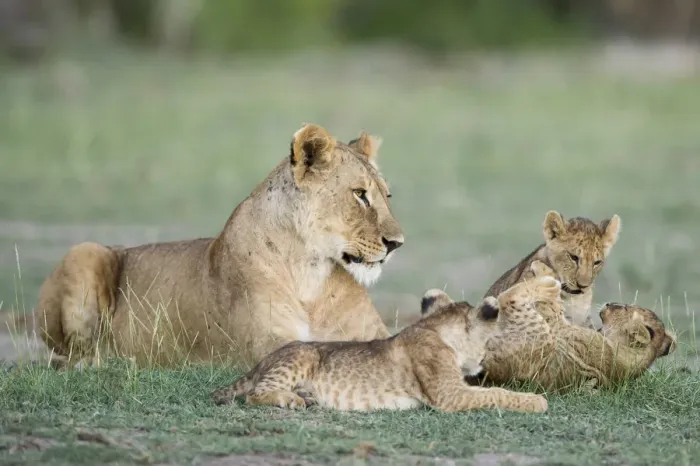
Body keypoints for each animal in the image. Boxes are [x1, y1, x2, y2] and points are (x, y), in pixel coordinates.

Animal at [32, 123, 405, 369]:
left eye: (387, 196)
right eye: (360, 194)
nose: (396, 244)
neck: (311, 274)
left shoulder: (373, 332)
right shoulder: (271, 344)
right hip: (85, 251)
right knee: (73, 356)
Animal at [209, 276, 561, 414]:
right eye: (486, 345)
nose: (481, 362)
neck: (434, 329)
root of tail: (261, 362)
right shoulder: (450, 395)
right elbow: (497, 394)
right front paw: (537, 401)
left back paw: (305, 396)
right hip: (301, 354)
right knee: (256, 394)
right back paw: (292, 400)